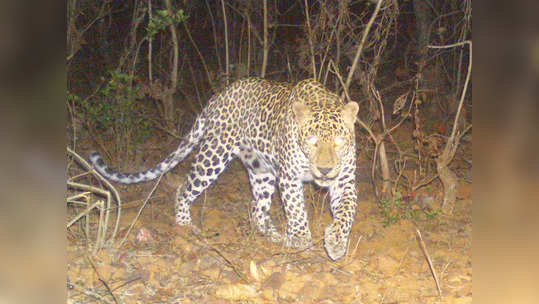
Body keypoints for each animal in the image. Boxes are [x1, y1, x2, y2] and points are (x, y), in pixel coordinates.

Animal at [90, 77, 360, 260]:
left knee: (256, 209)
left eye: (339, 142)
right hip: (214, 154)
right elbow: (295, 209)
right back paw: (184, 225)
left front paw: (336, 243)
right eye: (312, 142)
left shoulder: (344, 181)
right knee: (184, 188)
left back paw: (275, 235)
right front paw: (302, 239)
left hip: (261, 171)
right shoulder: (289, 177)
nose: (324, 170)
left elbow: (346, 212)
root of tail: (219, 96)